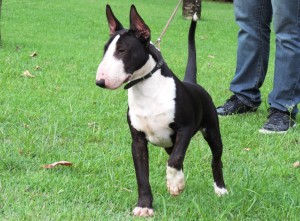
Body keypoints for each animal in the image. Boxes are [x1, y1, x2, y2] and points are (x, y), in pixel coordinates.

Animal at [96, 4, 227, 217]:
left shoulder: (185, 129)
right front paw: (145, 205)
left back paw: (220, 188)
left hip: (212, 131)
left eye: (122, 50)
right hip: (169, 143)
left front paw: (174, 183)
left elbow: (175, 160)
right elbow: (142, 176)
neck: (147, 88)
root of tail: (193, 83)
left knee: (215, 159)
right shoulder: (138, 142)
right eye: (105, 50)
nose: (100, 81)